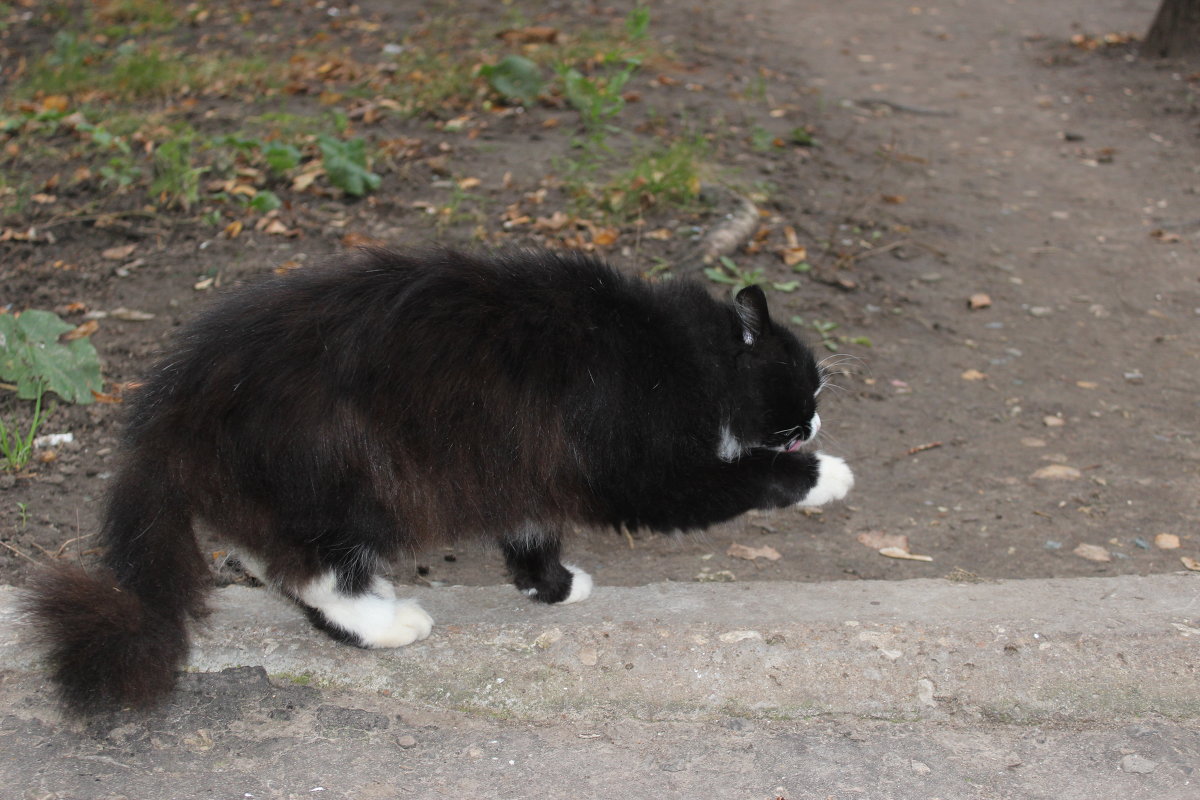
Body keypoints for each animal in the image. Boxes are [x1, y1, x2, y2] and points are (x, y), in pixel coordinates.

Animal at [25, 248, 854, 714]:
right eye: (802, 391)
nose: (816, 420)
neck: (677, 353)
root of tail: (173, 403)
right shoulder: (643, 473)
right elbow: (749, 478)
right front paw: (827, 475)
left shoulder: (527, 471)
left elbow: (531, 534)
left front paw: (554, 587)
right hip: (354, 485)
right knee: (319, 572)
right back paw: (391, 623)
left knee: (276, 561)